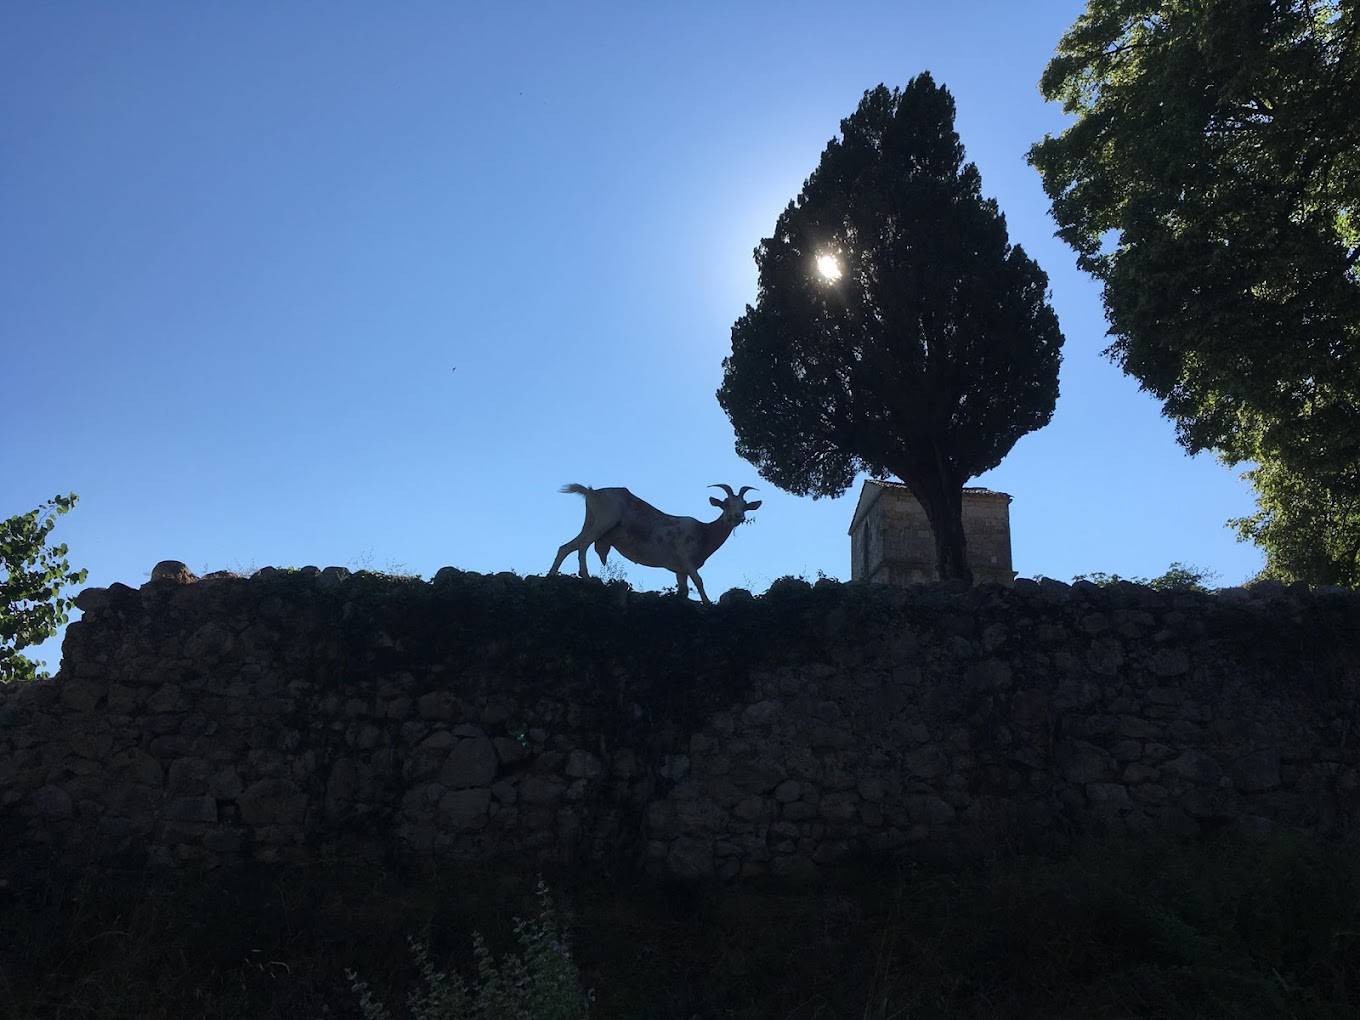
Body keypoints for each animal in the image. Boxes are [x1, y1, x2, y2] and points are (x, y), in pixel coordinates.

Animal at [552, 484, 767, 603]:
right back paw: (586, 577)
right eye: (725, 504)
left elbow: (683, 591)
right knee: (582, 546)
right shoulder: (686, 558)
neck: (704, 533)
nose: (737, 517)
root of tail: (591, 493)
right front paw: (707, 602)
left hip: (590, 522)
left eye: (744, 506)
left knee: (567, 546)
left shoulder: (680, 571)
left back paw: (552, 574)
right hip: (604, 522)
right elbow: (699, 581)